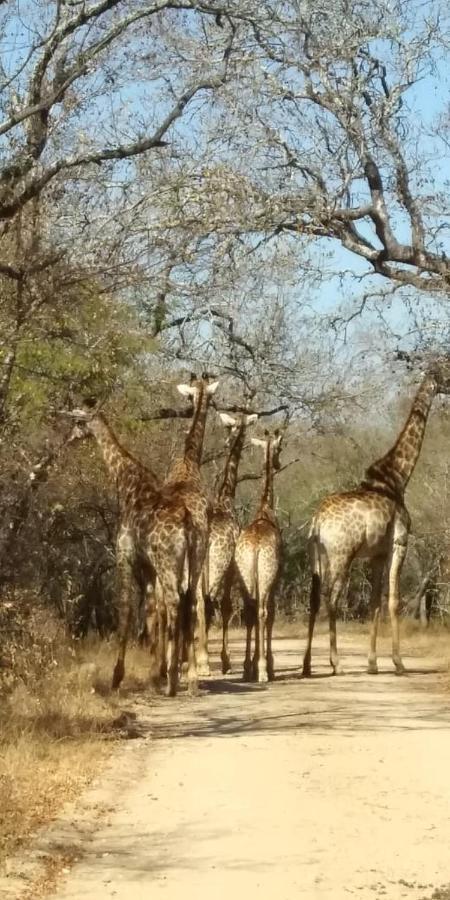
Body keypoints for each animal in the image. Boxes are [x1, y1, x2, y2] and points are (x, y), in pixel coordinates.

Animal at [302, 362, 450, 680]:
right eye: (445, 371)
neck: (397, 478)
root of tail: (318, 521)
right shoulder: (399, 543)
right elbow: (393, 600)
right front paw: (398, 663)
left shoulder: (376, 554)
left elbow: (373, 604)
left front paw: (372, 663)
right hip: (341, 554)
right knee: (332, 598)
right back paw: (336, 663)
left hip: (316, 556)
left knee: (314, 599)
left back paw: (308, 665)